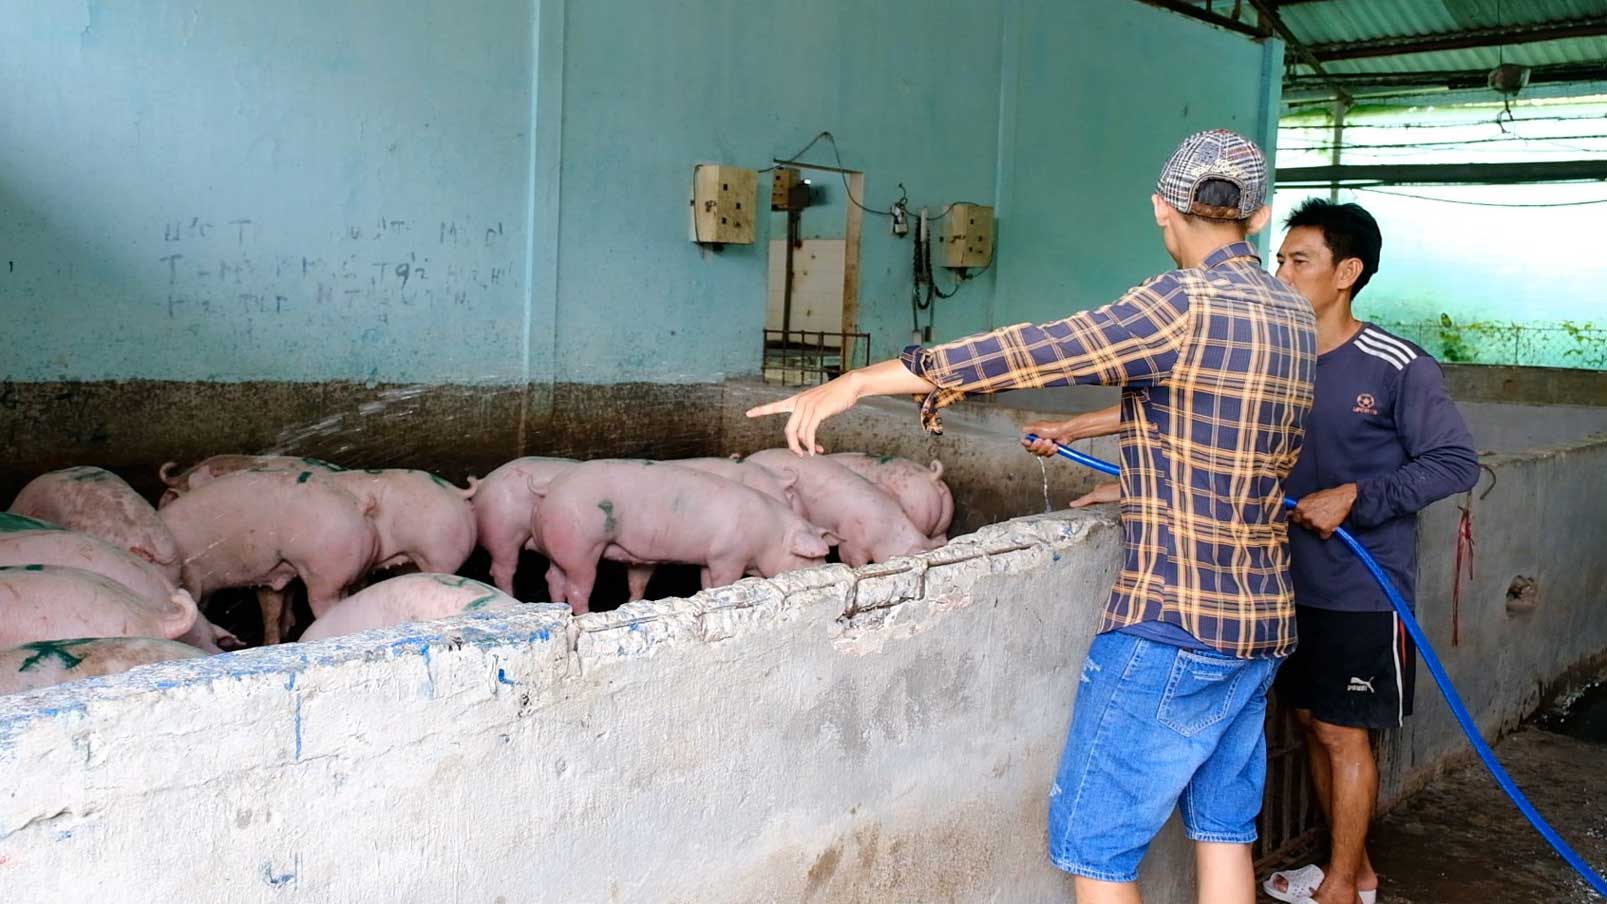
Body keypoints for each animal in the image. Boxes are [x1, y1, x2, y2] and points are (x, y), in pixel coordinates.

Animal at [533, 460, 836, 613]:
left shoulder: (708, 558)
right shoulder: (728, 557)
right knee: (577, 587)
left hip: (561, 548)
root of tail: (552, 487)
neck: (769, 536)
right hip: (582, 544)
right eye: (810, 558)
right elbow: (723, 582)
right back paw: (586, 614)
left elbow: (706, 584)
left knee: (553, 577)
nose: (827, 569)